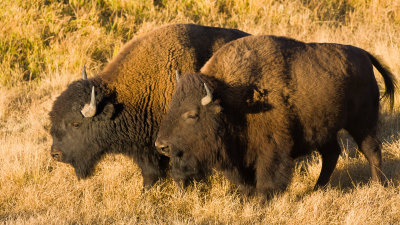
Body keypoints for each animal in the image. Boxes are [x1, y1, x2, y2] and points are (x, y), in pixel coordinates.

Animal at [155, 34, 396, 196]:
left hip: (362, 123)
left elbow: (267, 179)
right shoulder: (238, 158)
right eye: (172, 106)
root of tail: (364, 55)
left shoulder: (271, 150)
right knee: (331, 154)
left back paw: (379, 186)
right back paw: (317, 188)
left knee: (372, 150)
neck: (229, 98)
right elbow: (245, 182)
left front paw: (263, 202)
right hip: (324, 129)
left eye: (192, 114)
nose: (161, 145)